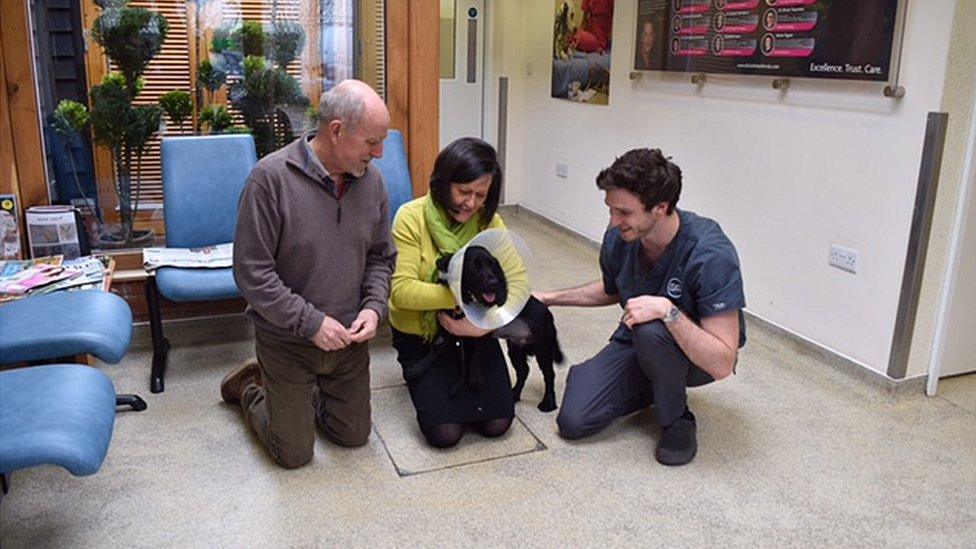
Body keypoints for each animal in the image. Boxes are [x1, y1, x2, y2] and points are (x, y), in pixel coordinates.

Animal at [436, 246, 564, 408]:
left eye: (492, 264)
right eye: (473, 266)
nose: (494, 282)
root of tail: (548, 313)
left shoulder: (481, 332)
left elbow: (476, 355)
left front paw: (476, 378)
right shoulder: (461, 331)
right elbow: (464, 354)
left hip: (543, 348)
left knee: (549, 374)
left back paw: (548, 401)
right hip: (516, 349)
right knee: (524, 371)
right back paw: (514, 395)